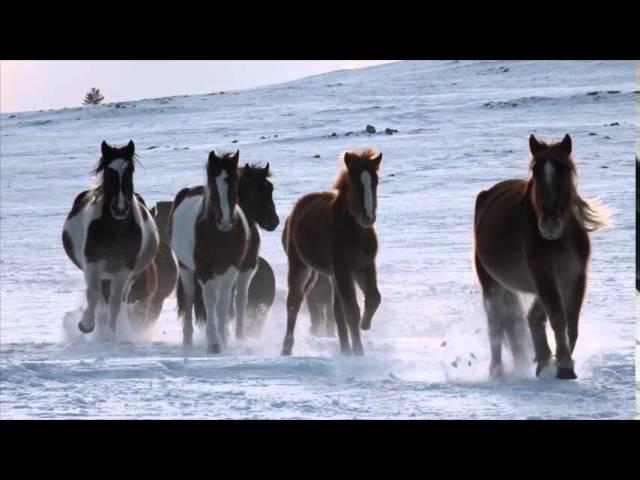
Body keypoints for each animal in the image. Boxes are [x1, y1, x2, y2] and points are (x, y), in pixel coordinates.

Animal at [62, 141, 159, 336]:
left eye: (130, 170)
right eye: (109, 171)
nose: (120, 208)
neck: (115, 229)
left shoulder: (124, 268)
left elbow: (115, 301)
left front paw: (111, 332)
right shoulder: (93, 262)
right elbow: (93, 294)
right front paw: (86, 325)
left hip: (129, 275)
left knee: (119, 299)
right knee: (99, 295)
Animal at [170, 150, 250, 352]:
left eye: (235, 182)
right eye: (213, 185)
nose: (226, 221)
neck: (220, 236)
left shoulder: (231, 268)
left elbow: (222, 303)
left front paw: (223, 338)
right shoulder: (204, 269)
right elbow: (210, 300)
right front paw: (214, 342)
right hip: (186, 269)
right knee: (190, 298)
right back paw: (187, 339)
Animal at [282, 150, 382, 356]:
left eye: (375, 182)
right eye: (353, 183)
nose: (367, 218)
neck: (355, 233)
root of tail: (299, 206)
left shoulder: (365, 266)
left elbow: (374, 298)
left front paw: (365, 325)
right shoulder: (343, 269)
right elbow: (352, 310)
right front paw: (359, 352)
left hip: (333, 275)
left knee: (336, 310)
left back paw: (344, 349)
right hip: (300, 265)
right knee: (294, 302)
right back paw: (286, 349)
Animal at [472, 134, 608, 378]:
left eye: (564, 170)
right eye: (535, 172)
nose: (549, 226)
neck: (560, 240)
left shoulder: (575, 276)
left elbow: (571, 322)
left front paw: (558, 361)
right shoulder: (543, 274)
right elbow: (558, 318)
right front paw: (564, 365)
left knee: (532, 317)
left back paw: (542, 359)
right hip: (492, 283)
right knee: (495, 325)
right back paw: (497, 371)